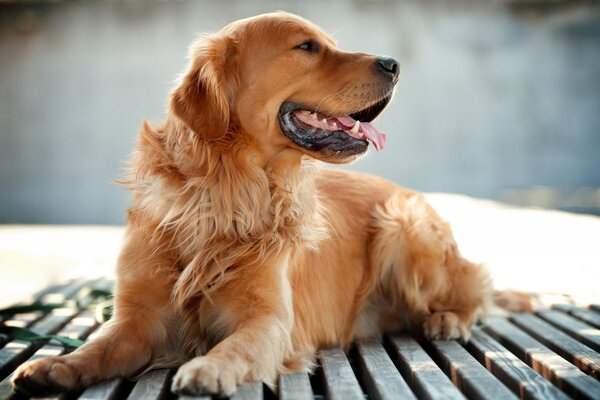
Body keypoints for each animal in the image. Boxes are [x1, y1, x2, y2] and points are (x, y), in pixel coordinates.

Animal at [11, 10, 496, 396]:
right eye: (306, 46)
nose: (394, 64)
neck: (225, 191)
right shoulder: (138, 317)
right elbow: (99, 346)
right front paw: (56, 365)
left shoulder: (267, 319)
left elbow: (237, 346)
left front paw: (208, 368)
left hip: (405, 230)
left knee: (475, 288)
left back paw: (448, 320)